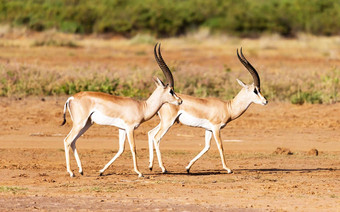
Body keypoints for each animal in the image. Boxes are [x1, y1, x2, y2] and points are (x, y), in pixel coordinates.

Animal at [61, 43, 183, 177]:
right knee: (67, 140)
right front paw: (139, 172)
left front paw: (101, 171)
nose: (180, 101)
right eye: (171, 91)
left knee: (73, 141)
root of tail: (71, 98)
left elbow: (121, 149)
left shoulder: (121, 129)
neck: (142, 107)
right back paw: (71, 172)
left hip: (87, 124)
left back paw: (81, 170)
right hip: (80, 123)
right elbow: (133, 148)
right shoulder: (130, 128)